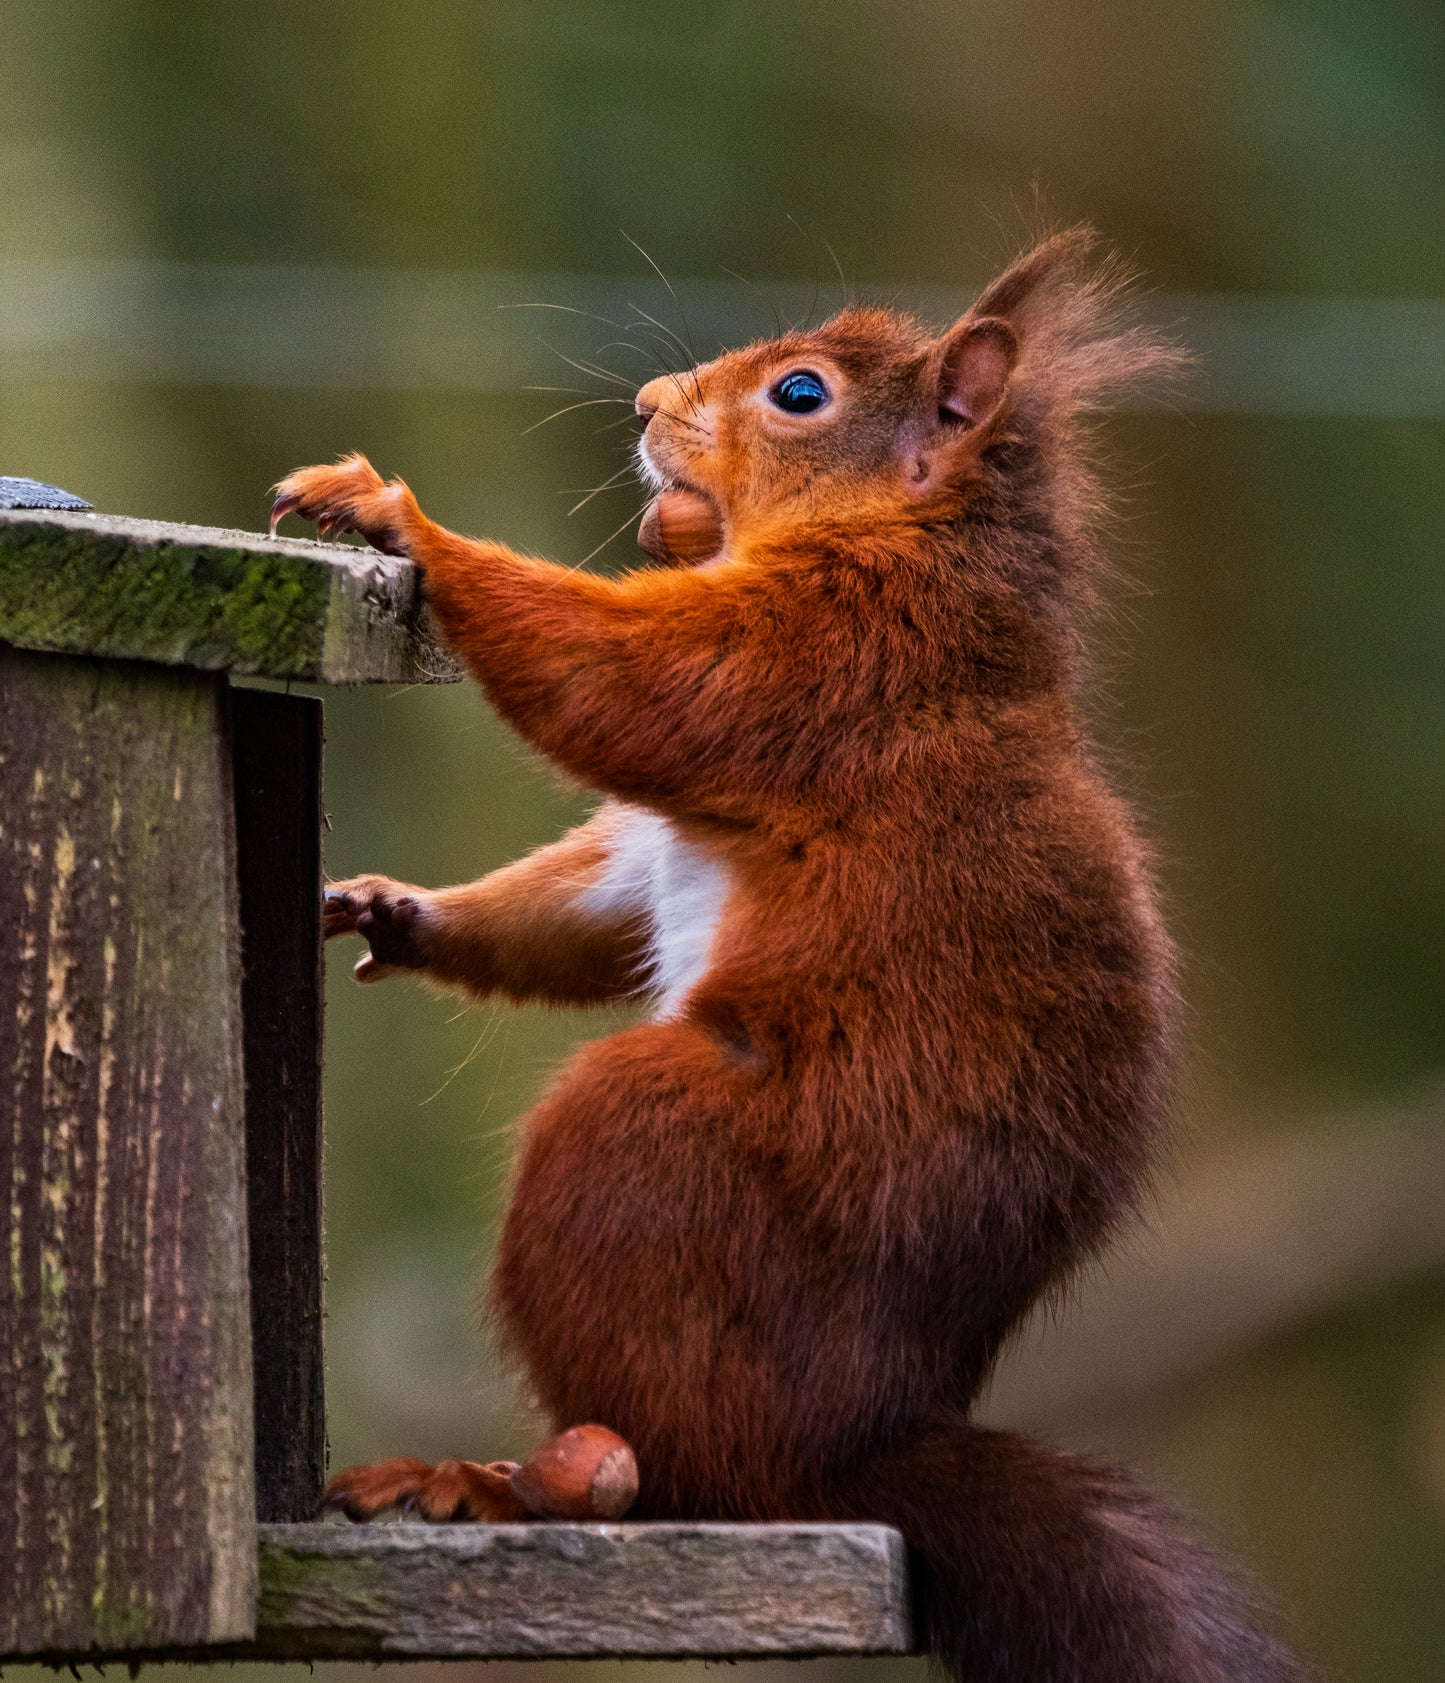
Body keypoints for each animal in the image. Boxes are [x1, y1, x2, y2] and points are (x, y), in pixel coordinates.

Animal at [272, 230, 1309, 1683]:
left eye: (800, 396)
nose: (648, 402)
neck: (914, 543)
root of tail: (843, 1460)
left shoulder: (826, 653)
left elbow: (614, 679)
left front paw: (390, 514)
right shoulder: (676, 814)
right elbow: (589, 899)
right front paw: (393, 910)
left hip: (659, 1160)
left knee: (681, 1470)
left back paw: (507, 1481)